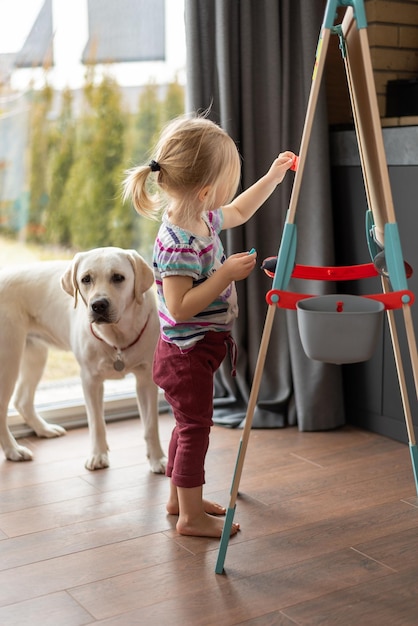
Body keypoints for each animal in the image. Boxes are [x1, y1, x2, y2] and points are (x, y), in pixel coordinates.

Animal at [0, 246, 167, 470]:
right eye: (86, 279)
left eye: (118, 277)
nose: (98, 305)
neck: (116, 337)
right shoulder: (90, 380)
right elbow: (96, 423)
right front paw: (98, 456)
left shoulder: (146, 379)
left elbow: (151, 425)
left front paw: (158, 459)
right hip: (8, 358)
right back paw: (13, 450)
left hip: (35, 355)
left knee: (22, 401)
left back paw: (44, 430)